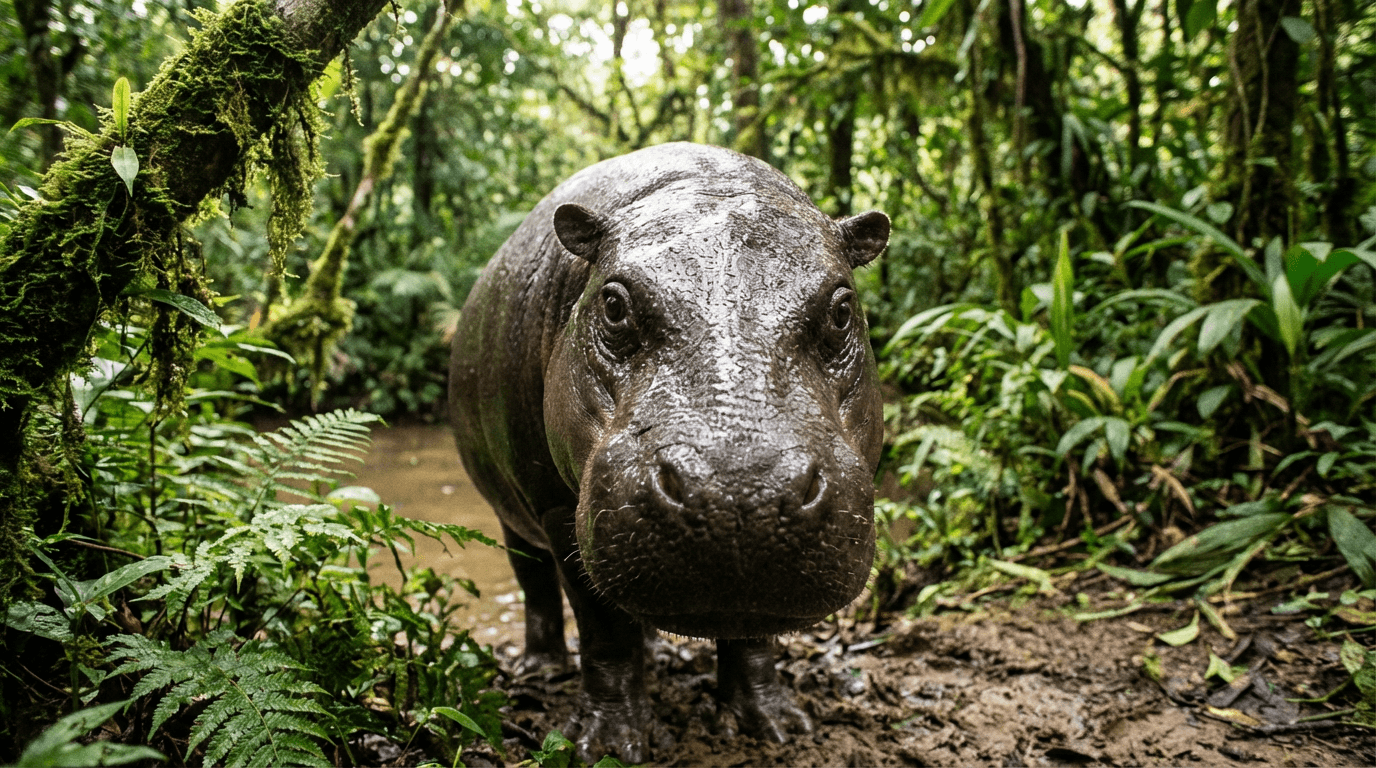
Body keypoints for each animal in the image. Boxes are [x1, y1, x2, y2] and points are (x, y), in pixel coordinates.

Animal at [448, 142, 888, 763]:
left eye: (843, 309)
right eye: (612, 304)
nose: (739, 495)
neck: (705, 183)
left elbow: (753, 636)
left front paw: (776, 725)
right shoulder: (557, 509)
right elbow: (603, 630)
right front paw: (608, 744)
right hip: (512, 513)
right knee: (533, 582)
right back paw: (542, 671)